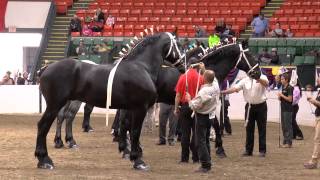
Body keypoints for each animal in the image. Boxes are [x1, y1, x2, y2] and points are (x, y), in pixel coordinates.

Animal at [35, 31, 182, 169]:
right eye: (178, 45)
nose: (182, 65)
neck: (141, 67)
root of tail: (46, 68)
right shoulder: (140, 108)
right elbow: (135, 131)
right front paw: (138, 160)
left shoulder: (129, 108)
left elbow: (125, 126)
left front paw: (127, 151)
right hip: (55, 104)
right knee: (45, 125)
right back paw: (45, 160)